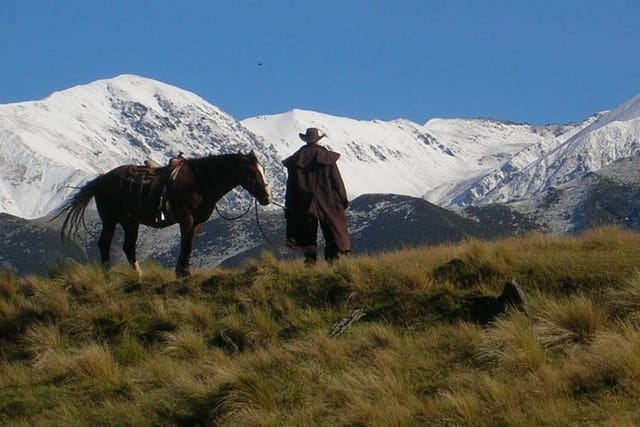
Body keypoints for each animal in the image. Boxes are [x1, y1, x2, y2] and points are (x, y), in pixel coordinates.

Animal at [55, 151, 272, 278]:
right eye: (252, 172)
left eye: (263, 169)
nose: (267, 197)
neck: (201, 181)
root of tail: (101, 180)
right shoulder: (186, 218)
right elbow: (186, 244)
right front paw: (184, 273)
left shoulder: (197, 222)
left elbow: (187, 244)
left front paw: (182, 270)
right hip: (110, 219)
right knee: (105, 243)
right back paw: (108, 275)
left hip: (130, 222)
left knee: (128, 246)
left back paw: (138, 275)